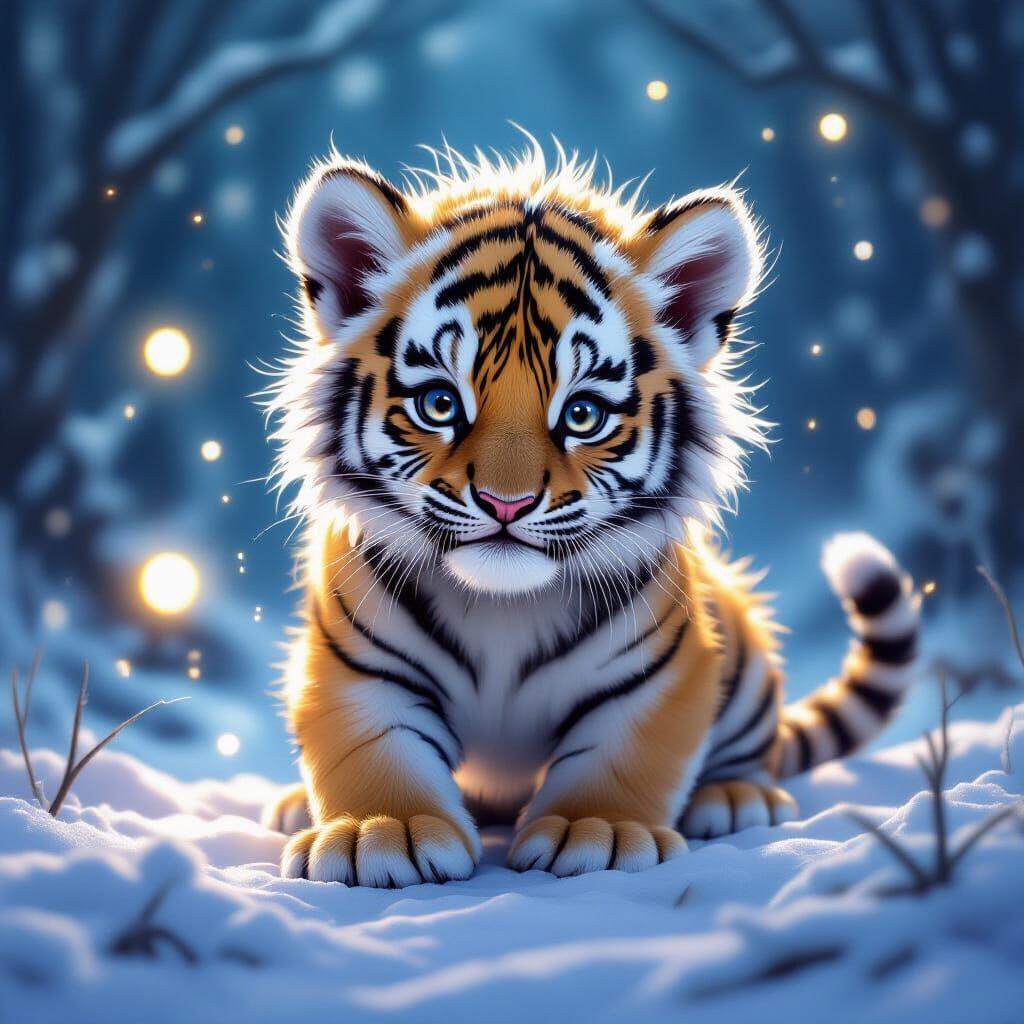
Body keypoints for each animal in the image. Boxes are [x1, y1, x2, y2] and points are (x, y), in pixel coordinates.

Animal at [262, 138, 921, 887]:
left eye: (582, 414)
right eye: (439, 403)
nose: (507, 503)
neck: (502, 611)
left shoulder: (659, 677)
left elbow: (621, 757)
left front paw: (594, 831)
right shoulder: (358, 669)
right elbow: (374, 747)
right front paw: (379, 831)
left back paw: (733, 797)